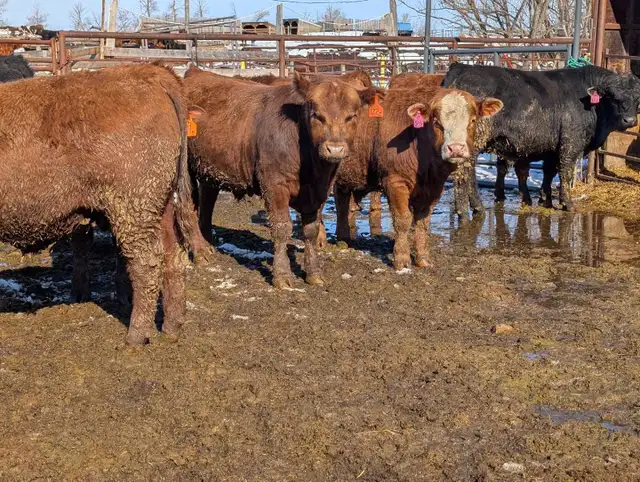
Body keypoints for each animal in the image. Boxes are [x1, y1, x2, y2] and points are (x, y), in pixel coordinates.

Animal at [0, 64, 198, 345]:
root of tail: (150, 72)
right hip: (161, 206)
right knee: (173, 255)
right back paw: (172, 326)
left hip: (132, 207)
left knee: (146, 262)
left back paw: (136, 336)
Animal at [184, 67, 381, 288]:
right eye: (316, 115)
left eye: (351, 116)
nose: (335, 148)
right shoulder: (274, 186)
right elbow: (281, 228)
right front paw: (282, 276)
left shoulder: (320, 191)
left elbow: (311, 230)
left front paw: (313, 273)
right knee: (188, 206)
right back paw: (200, 252)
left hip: (210, 170)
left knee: (207, 202)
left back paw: (208, 242)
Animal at [334, 81, 503, 268]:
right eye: (436, 122)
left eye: (472, 120)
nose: (456, 148)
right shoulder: (395, 181)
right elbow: (403, 220)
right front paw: (402, 260)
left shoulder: (434, 188)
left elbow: (422, 223)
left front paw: (423, 259)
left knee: (342, 203)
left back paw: (343, 238)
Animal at [443, 63, 640, 211]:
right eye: (613, 97)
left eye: (638, 98)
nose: (629, 120)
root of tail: (460, 67)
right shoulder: (570, 144)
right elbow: (565, 171)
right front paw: (566, 203)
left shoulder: (552, 148)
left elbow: (549, 172)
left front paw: (546, 199)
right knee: (465, 171)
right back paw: (471, 208)